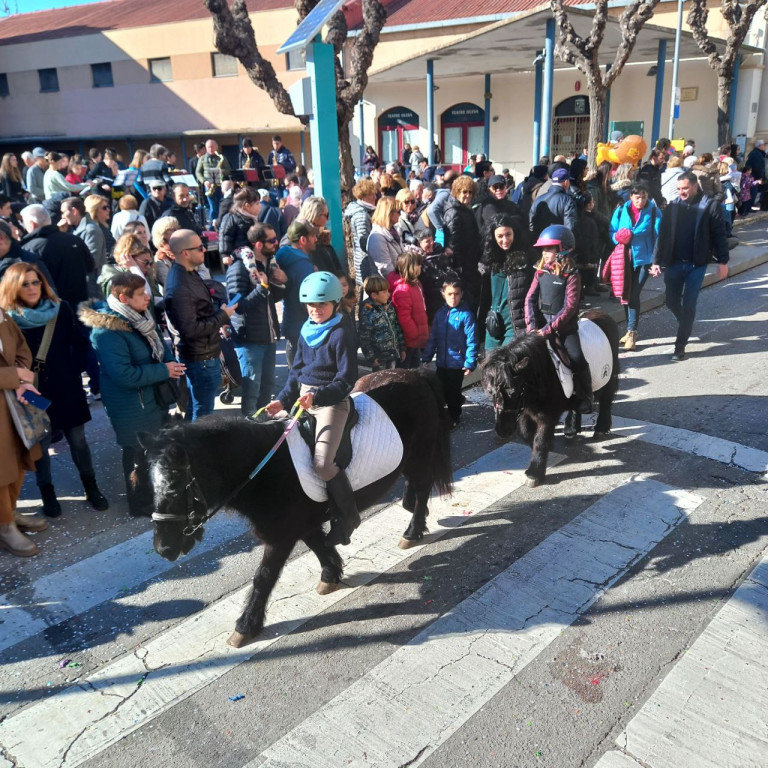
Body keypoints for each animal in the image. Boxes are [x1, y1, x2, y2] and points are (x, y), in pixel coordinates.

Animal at [136, 368, 452, 644]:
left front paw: (246, 626)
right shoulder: (301, 524)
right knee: (415, 488)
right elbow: (319, 546)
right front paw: (331, 575)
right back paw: (415, 515)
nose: (163, 549)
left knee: (423, 486)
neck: (265, 468)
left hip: (419, 454)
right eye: (150, 485)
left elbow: (264, 577)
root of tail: (415, 373)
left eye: (176, 487)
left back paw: (412, 532)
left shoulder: (281, 535)